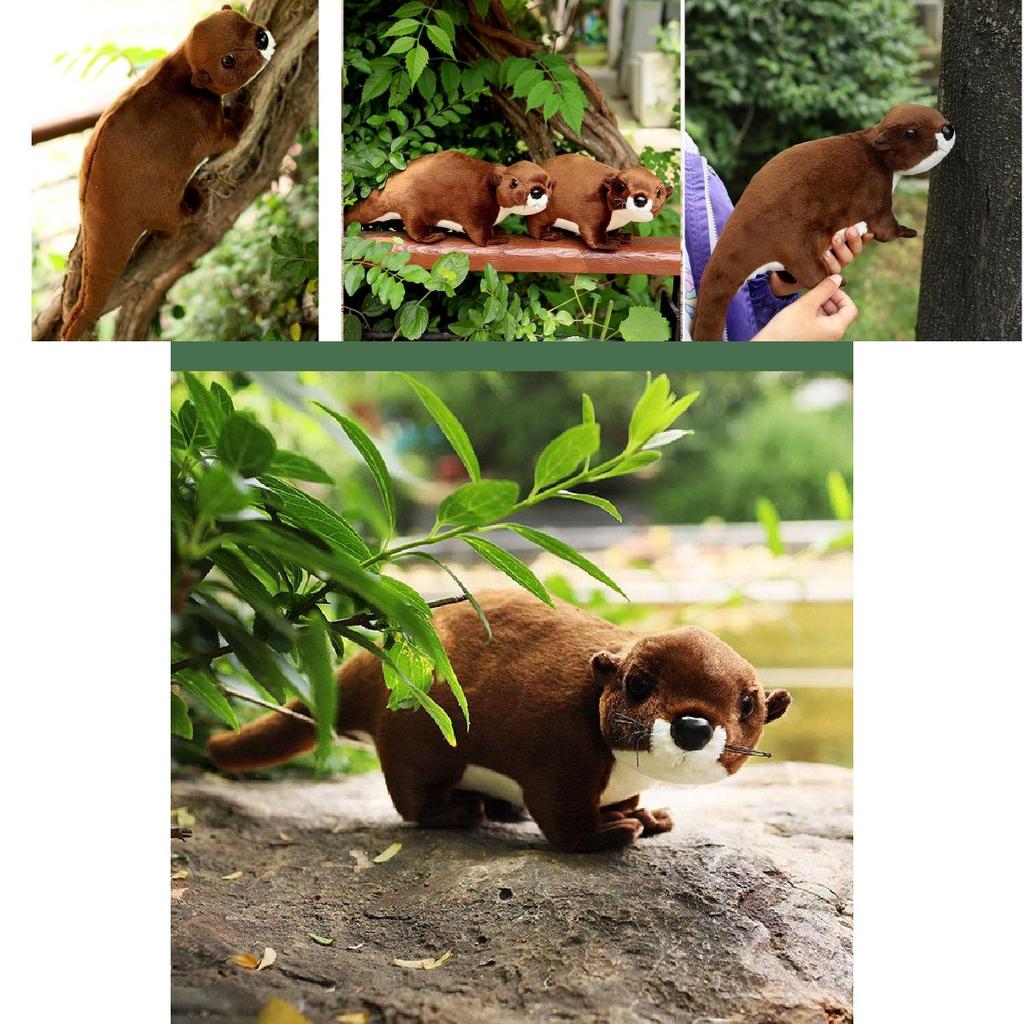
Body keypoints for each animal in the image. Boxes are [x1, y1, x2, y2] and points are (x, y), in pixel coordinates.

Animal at [208, 590, 791, 853]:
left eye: (747, 705)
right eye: (639, 684)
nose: (693, 725)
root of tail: (368, 664)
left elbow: (624, 801)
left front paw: (645, 817)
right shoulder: (562, 756)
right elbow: (564, 823)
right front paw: (612, 832)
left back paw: (501, 810)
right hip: (417, 741)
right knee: (413, 804)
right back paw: (462, 811)